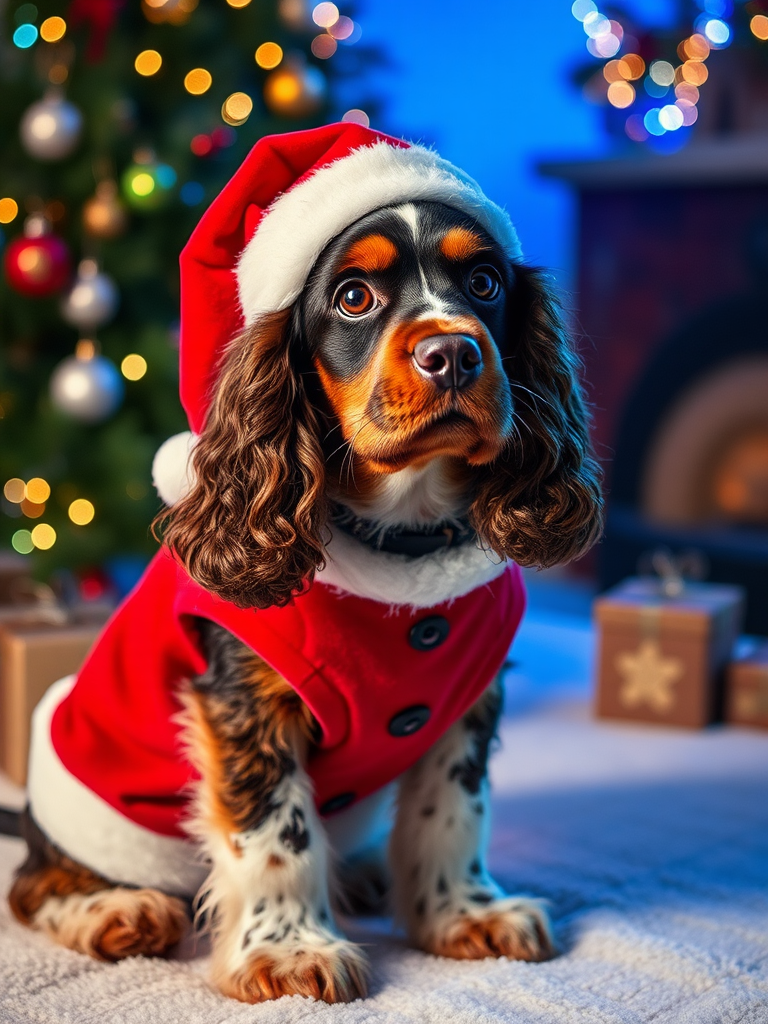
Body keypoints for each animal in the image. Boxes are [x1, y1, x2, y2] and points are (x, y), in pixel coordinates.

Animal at [9, 123, 606, 1003]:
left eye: (485, 281)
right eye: (353, 297)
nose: (455, 354)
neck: (404, 539)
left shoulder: (468, 698)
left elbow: (453, 812)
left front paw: (462, 912)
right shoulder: (246, 703)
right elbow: (276, 832)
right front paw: (286, 952)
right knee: (32, 882)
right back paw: (114, 909)